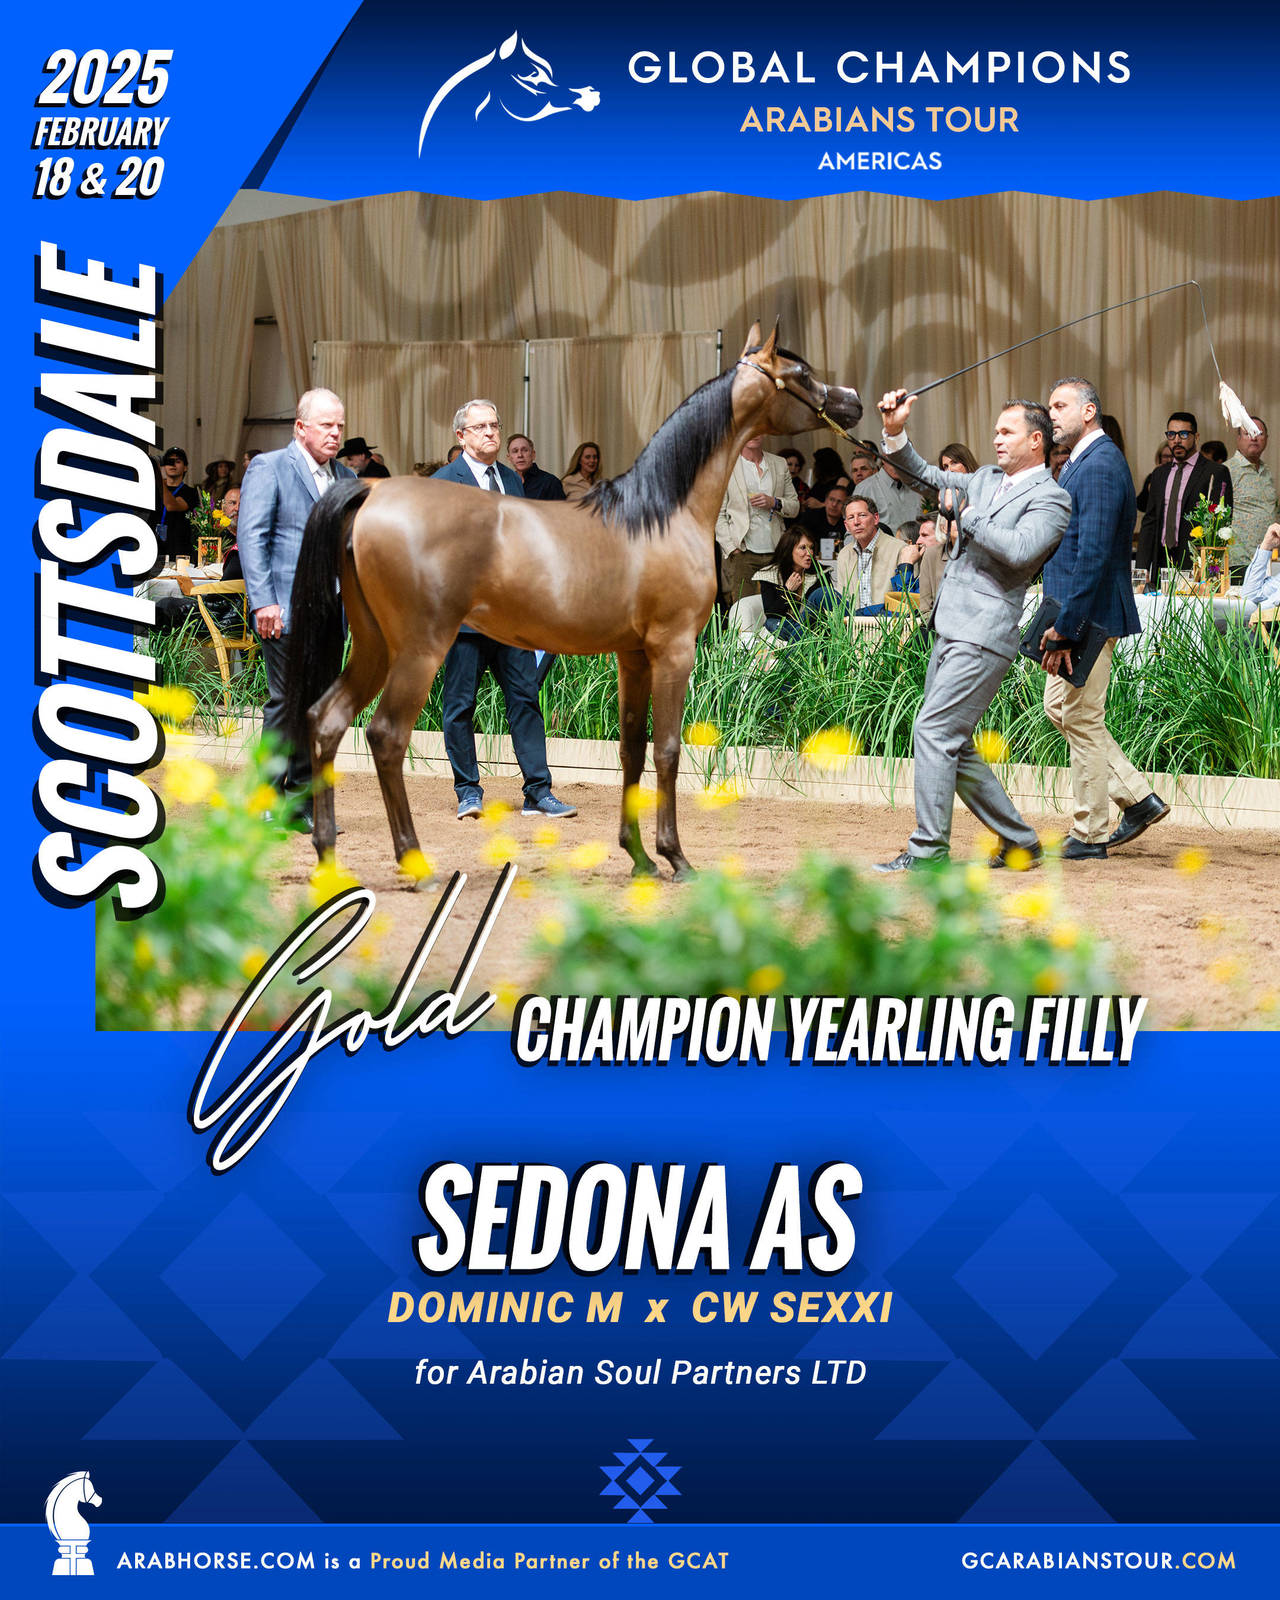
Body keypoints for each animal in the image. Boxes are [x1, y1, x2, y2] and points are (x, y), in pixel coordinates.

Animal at [284, 324, 862, 882]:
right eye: (800, 374)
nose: (853, 400)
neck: (661, 514)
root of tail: (372, 494)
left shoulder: (633, 655)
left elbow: (632, 748)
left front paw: (639, 858)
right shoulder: (674, 650)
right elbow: (667, 749)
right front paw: (675, 857)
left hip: (373, 647)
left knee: (328, 720)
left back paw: (328, 855)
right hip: (418, 651)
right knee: (385, 736)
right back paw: (414, 862)